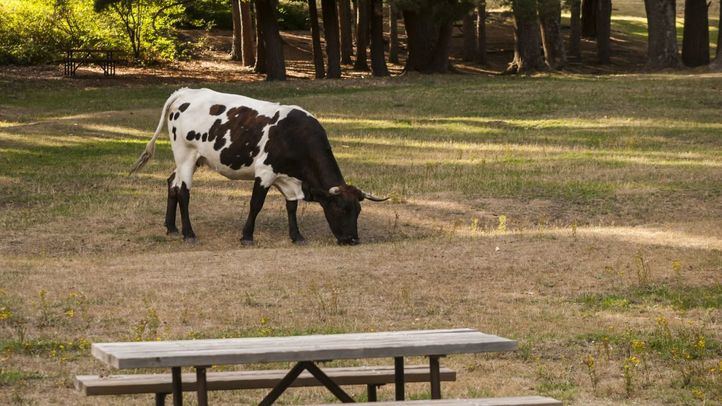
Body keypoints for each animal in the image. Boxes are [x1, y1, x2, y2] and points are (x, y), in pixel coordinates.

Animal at [129, 88, 387, 245]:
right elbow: (256, 204)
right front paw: (247, 236)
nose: (352, 239)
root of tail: (185, 92)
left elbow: (291, 206)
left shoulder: (290, 179)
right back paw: (188, 233)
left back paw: (171, 227)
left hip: (193, 159)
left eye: (358, 210)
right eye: (340, 209)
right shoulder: (265, 173)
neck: (293, 135)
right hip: (185, 155)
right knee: (183, 192)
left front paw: (296, 236)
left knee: (171, 183)